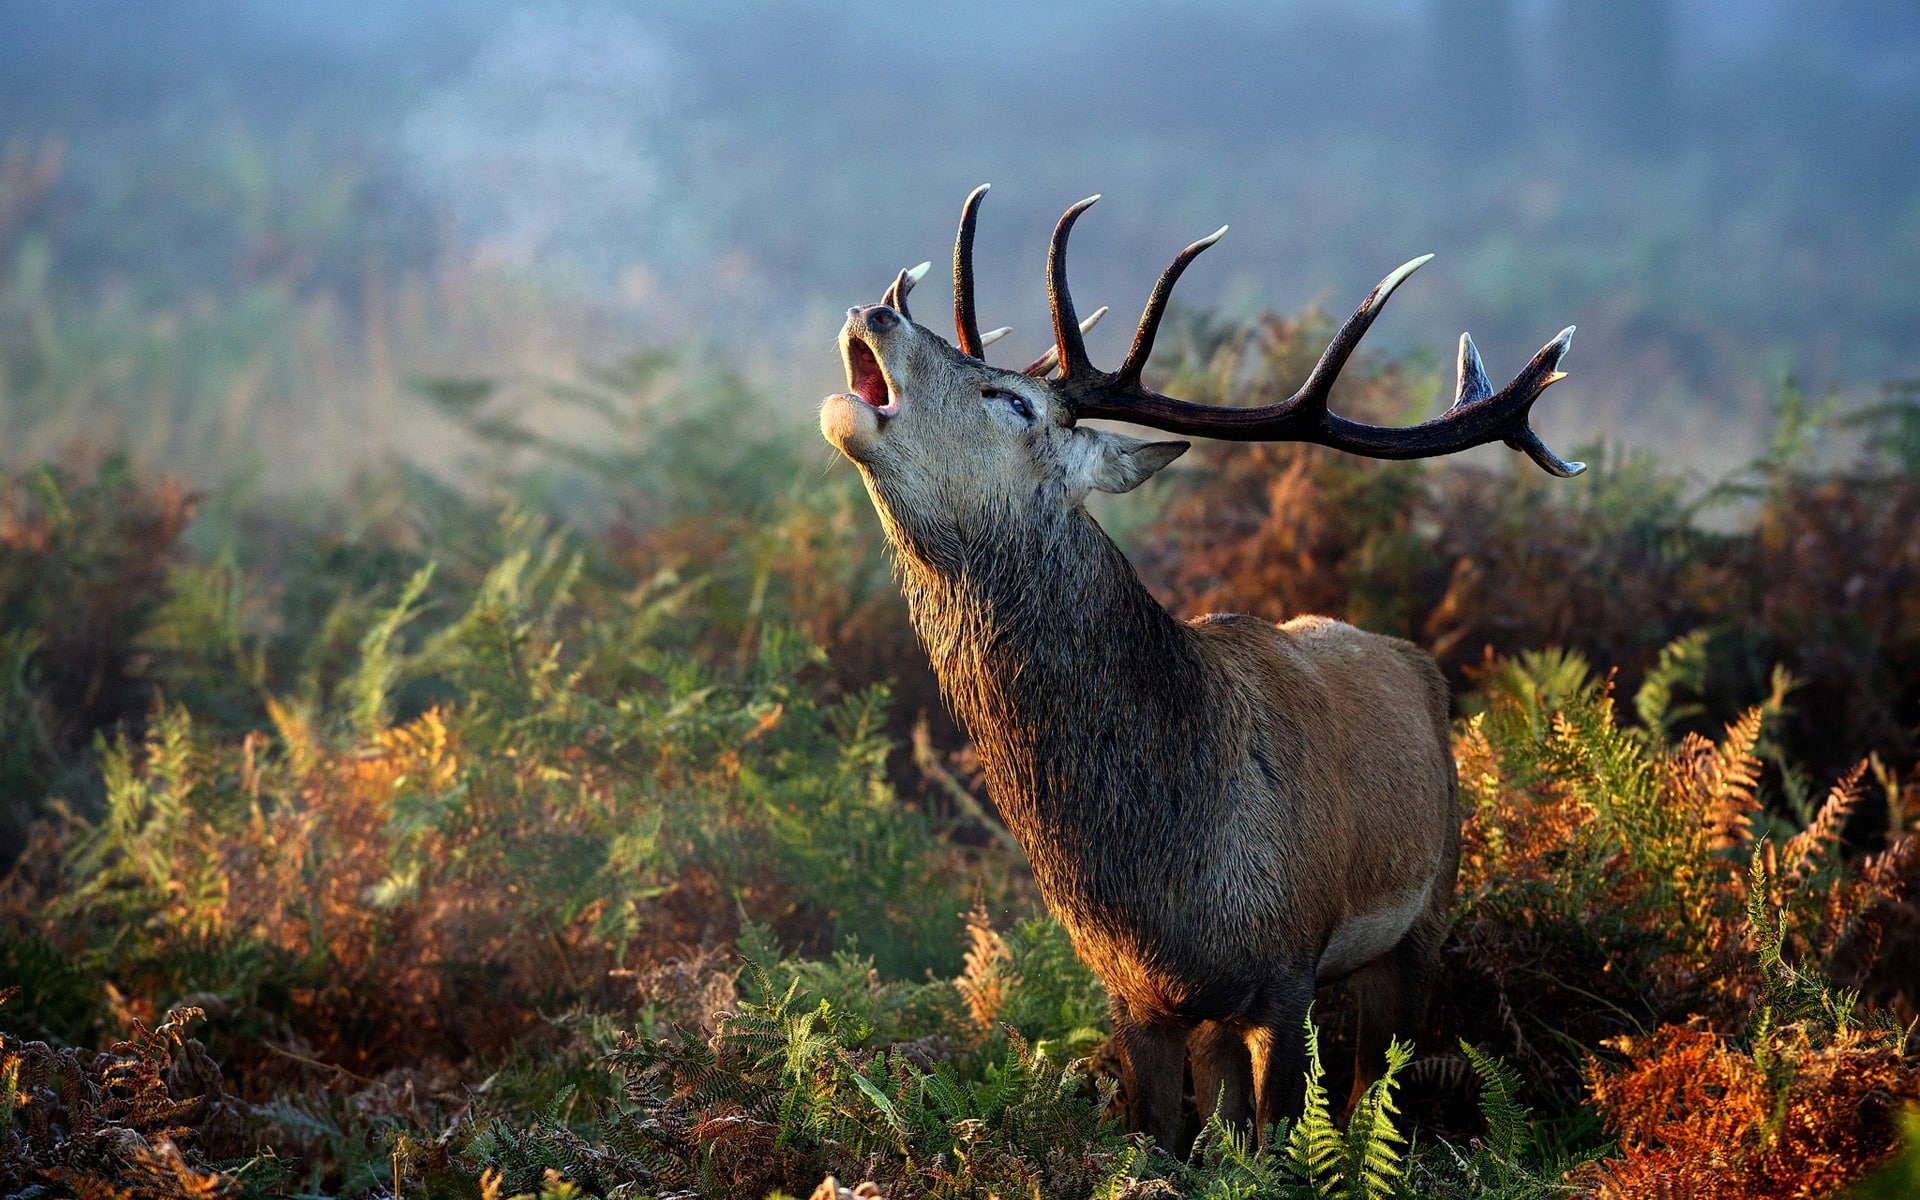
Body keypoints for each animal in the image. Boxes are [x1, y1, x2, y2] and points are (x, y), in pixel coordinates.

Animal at [818, 186, 1584, 1155]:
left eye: (1013, 400)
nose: (874, 310)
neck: (1162, 874)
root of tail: (1417, 664)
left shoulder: (1290, 968)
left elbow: (1285, 1138)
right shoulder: (1131, 995)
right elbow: (1164, 1140)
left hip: (1426, 915)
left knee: (1377, 1087)